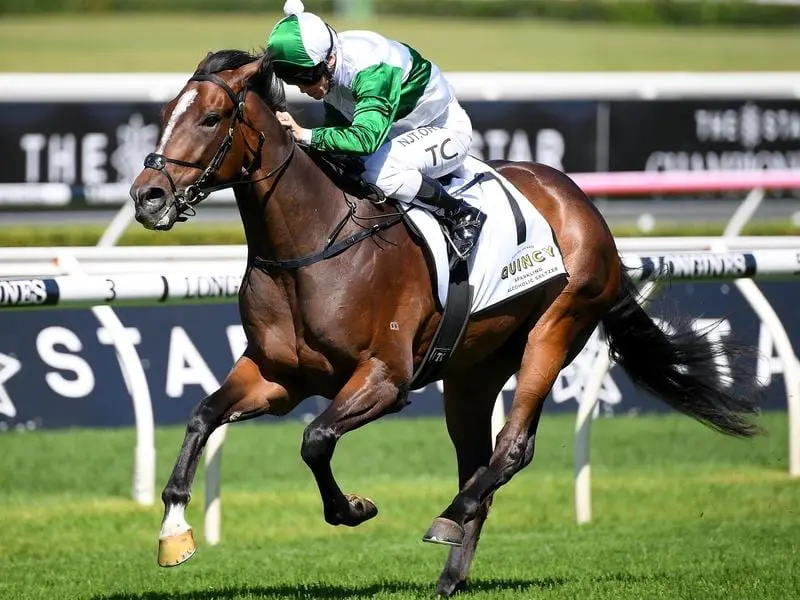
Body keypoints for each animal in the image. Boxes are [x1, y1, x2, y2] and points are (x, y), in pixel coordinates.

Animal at [128, 50, 760, 596]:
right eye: (163, 116)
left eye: (211, 118)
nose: (147, 196)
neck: (312, 246)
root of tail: (582, 203)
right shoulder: (278, 376)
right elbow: (202, 416)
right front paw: (173, 533)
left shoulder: (385, 379)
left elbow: (315, 439)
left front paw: (353, 508)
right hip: (471, 372)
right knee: (476, 460)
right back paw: (450, 573)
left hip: (556, 326)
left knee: (512, 448)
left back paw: (449, 518)